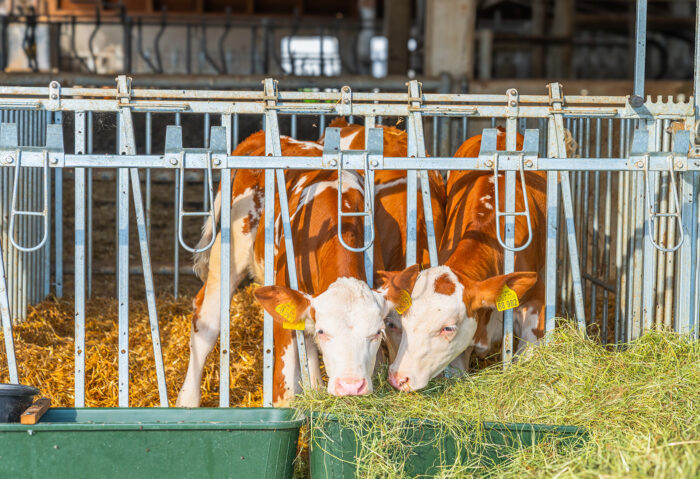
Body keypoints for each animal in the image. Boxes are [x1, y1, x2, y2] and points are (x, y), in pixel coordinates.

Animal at [178, 124, 446, 408]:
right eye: (323, 332)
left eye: (377, 333)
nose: (350, 385)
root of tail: (258, 138)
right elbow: (286, 390)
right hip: (230, 251)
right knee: (206, 320)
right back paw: (187, 399)